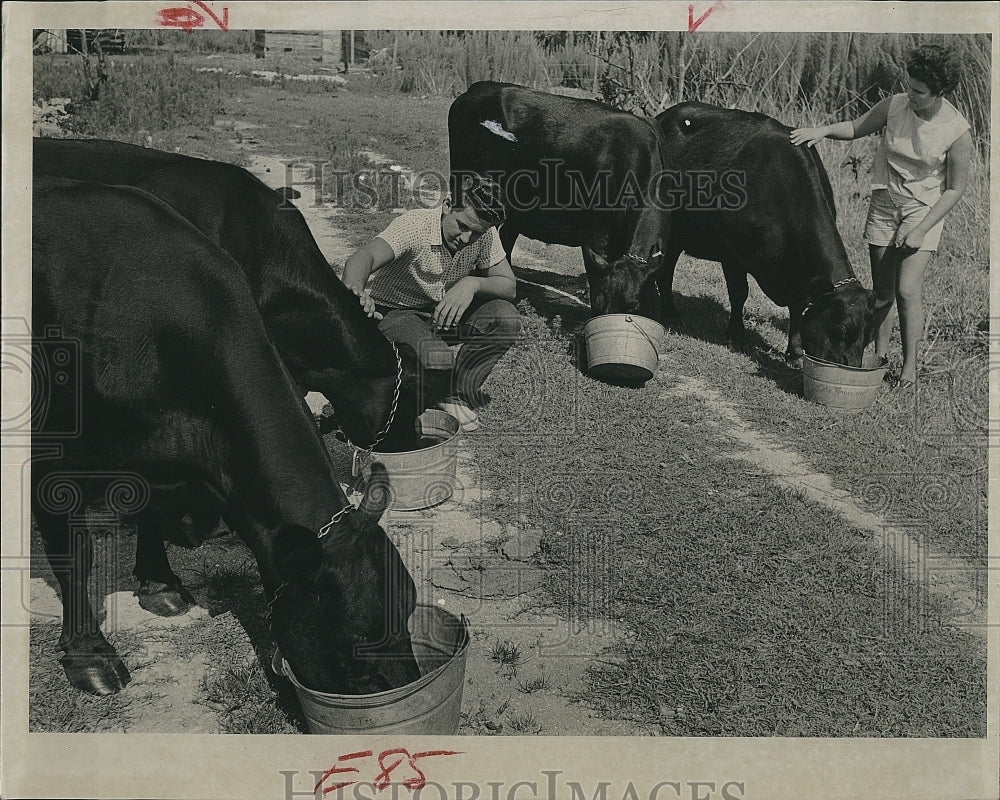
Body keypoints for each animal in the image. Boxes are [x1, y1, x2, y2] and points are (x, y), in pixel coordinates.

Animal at [33, 173, 420, 692]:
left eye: (409, 608)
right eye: (357, 636)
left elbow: (148, 509)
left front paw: (160, 583)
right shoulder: (52, 457)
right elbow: (75, 557)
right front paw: (89, 655)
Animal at [656, 101, 892, 368]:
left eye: (869, 337)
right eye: (841, 330)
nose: (849, 369)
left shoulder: (801, 276)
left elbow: (797, 306)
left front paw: (796, 352)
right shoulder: (732, 254)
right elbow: (739, 293)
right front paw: (736, 335)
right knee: (665, 271)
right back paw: (670, 314)